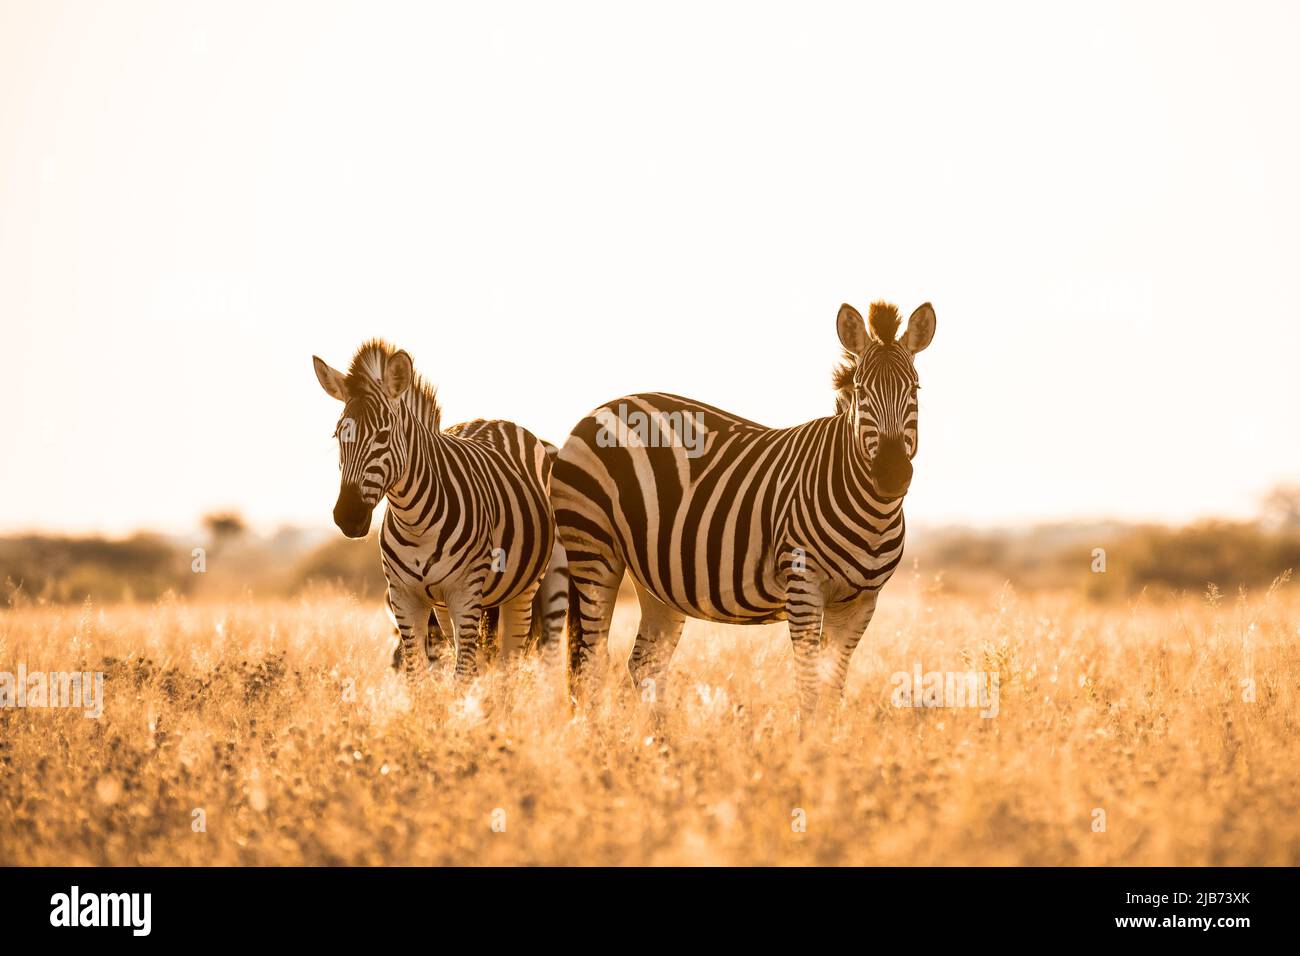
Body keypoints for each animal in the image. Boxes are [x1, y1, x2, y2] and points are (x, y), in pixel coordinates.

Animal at [312, 340, 556, 678]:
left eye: (383, 436)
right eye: (338, 436)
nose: (347, 516)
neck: (415, 521)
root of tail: (492, 420)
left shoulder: (465, 593)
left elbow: (463, 674)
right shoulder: (404, 597)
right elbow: (418, 673)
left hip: (524, 589)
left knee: (510, 662)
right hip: (446, 607)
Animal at [551, 301, 936, 719]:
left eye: (915, 389)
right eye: (861, 391)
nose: (891, 474)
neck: (872, 514)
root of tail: (600, 410)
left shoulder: (862, 602)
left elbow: (833, 688)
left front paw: (831, 737)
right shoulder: (804, 586)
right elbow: (809, 685)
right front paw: (807, 738)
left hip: (652, 575)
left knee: (644, 663)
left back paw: (663, 737)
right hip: (594, 548)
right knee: (589, 662)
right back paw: (596, 733)